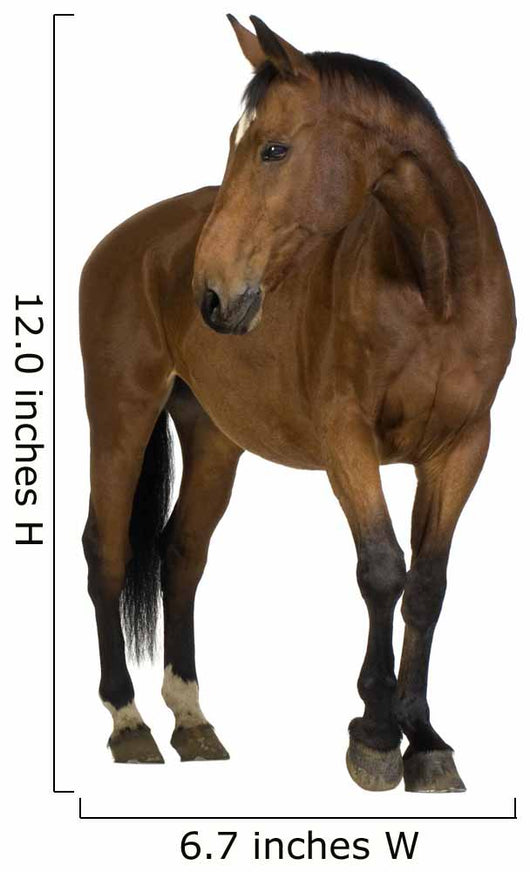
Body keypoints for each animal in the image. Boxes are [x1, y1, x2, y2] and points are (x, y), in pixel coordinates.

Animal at [79, 14, 515, 792]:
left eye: (274, 148)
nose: (211, 293)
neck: (432, 288)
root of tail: (125, 242)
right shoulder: (348, 441)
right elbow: (382, 569)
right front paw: (375, 733)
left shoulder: (464, 446)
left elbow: (427, 584)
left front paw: (425, 738)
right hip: (119, 414)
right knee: (107, 549)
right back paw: (129, 724)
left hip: (213, 437)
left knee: (181, 552)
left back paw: (192, 721)